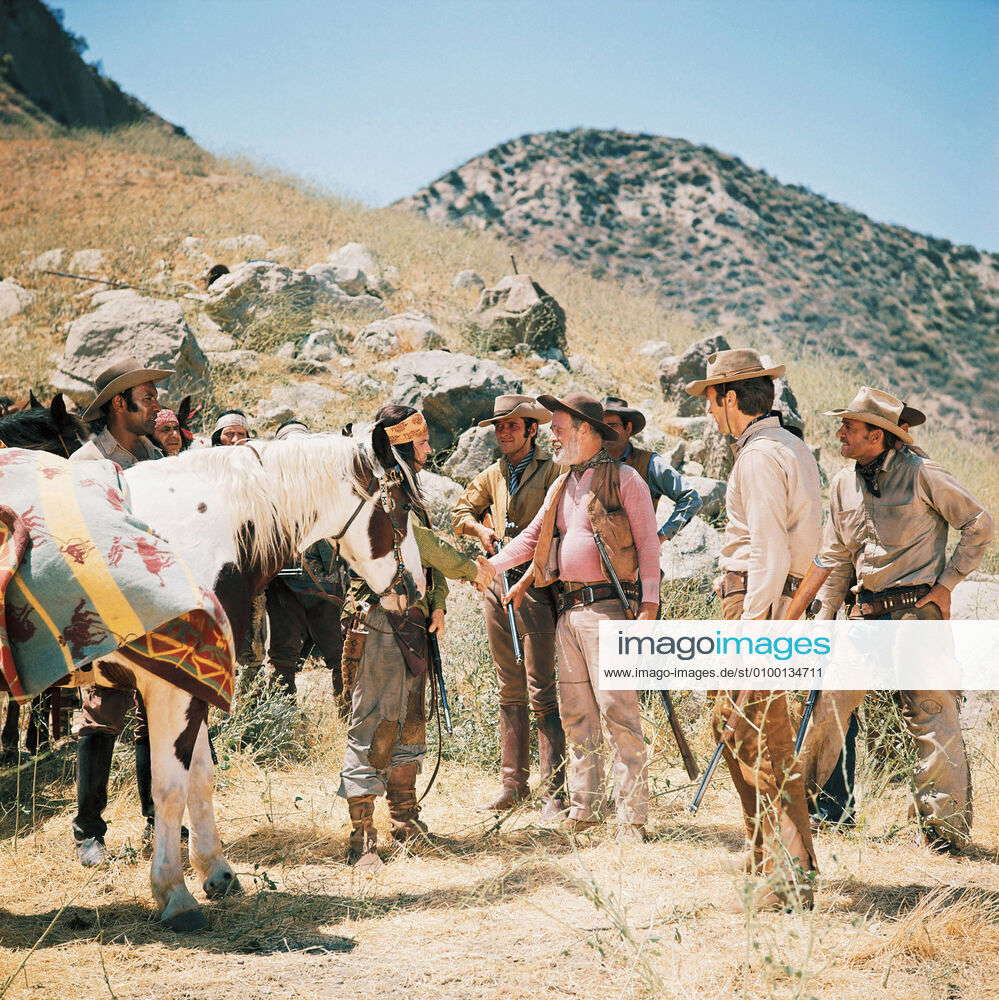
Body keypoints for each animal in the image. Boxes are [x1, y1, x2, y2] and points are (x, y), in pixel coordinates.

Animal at [92, 438, 424, 928]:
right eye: (400, 507)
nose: (416, 587)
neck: (196, 535)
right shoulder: (172, 689)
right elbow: (169, 788)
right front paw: (174, 893)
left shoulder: (198, 682)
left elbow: (200, 777)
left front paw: (216, 872)